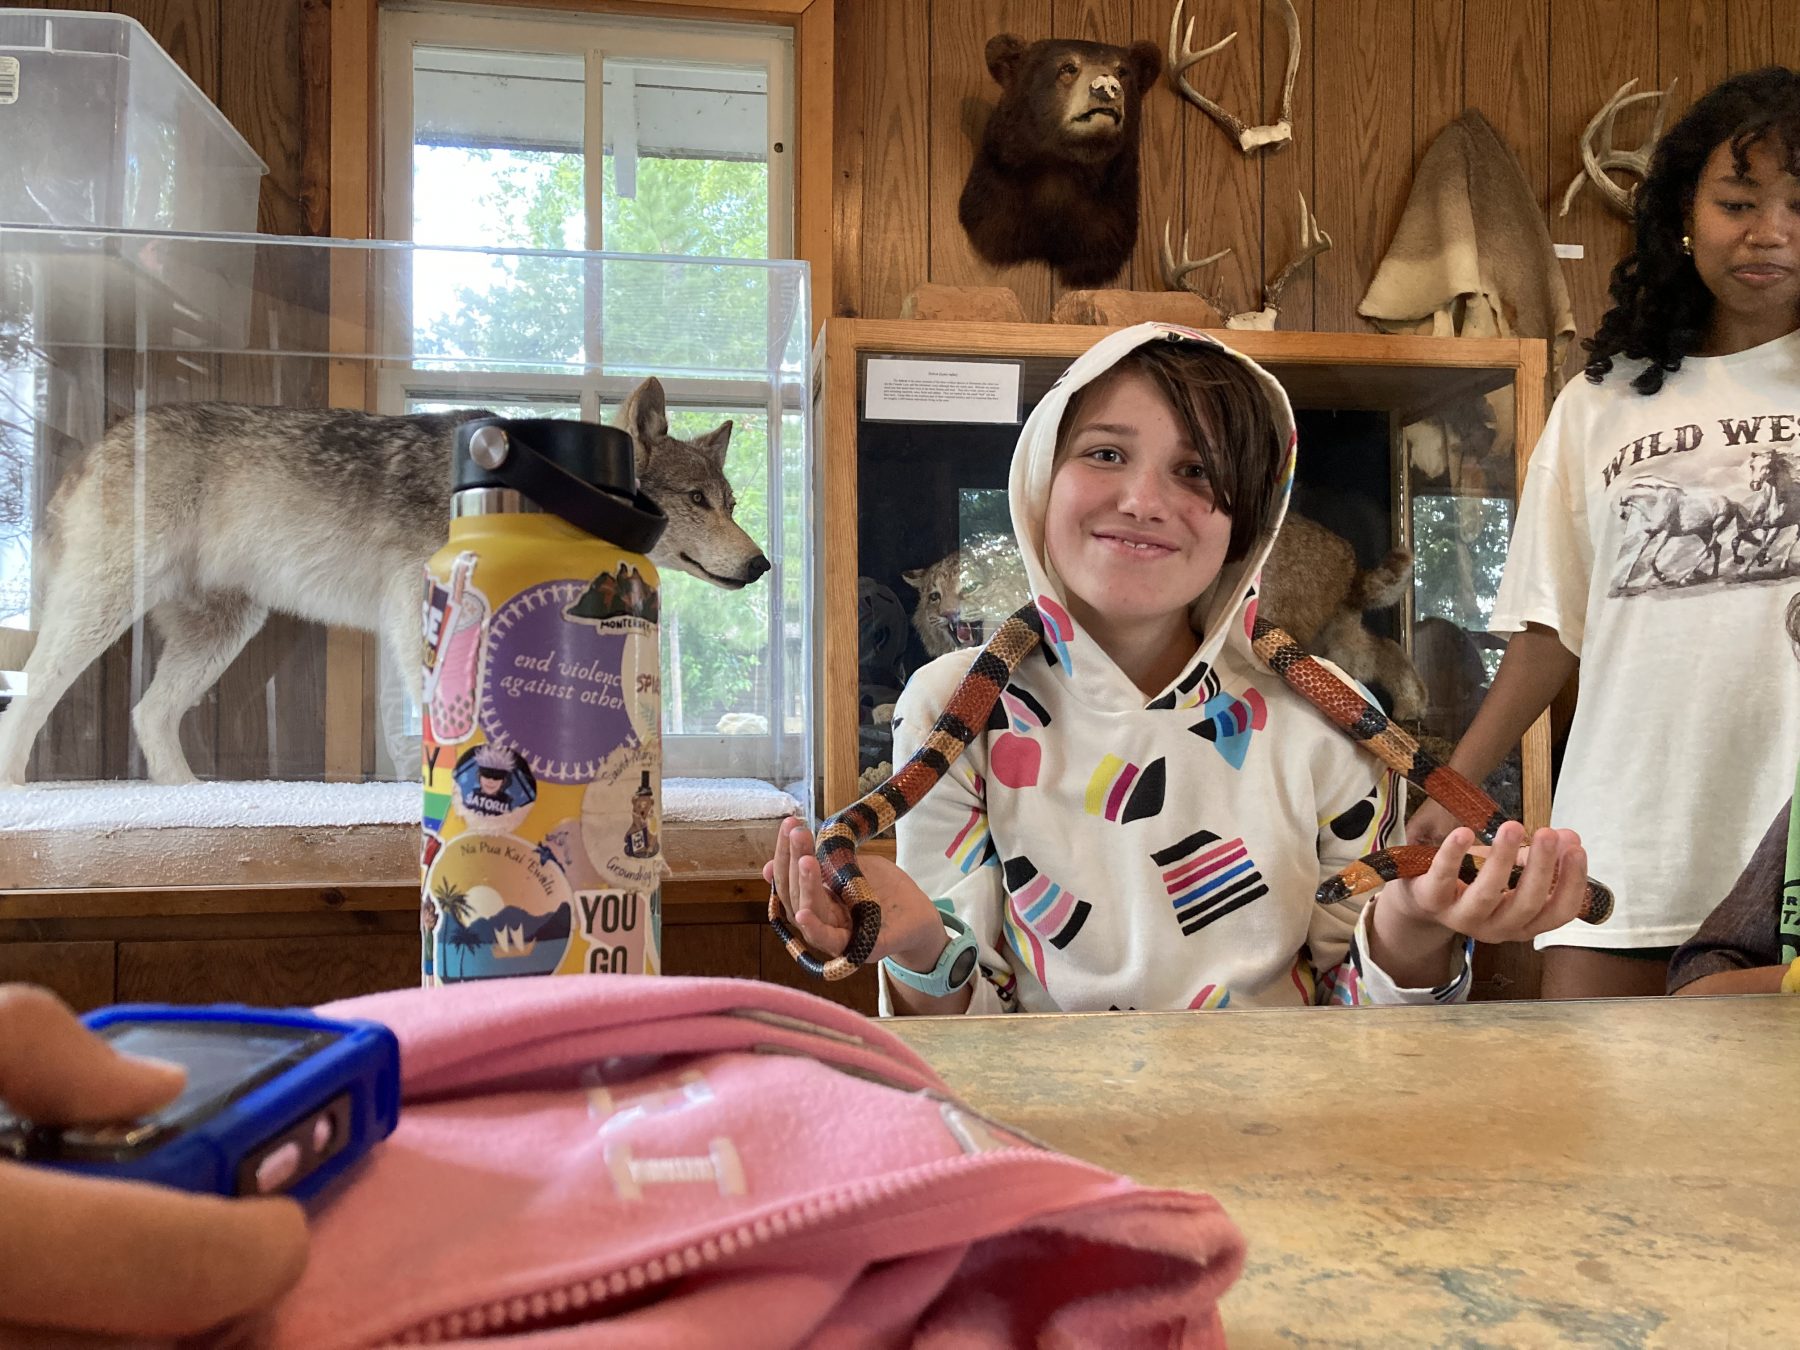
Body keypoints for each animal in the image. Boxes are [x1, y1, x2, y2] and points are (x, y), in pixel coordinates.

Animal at [0, 376, 766, 788]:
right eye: (697, 501)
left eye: (730, 505)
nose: (762, 565)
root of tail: (104, 438)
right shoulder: (412, 604)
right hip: (105, 612)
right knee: (32, 695)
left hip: (219, 635)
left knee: (149, 714)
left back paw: (189, 798)